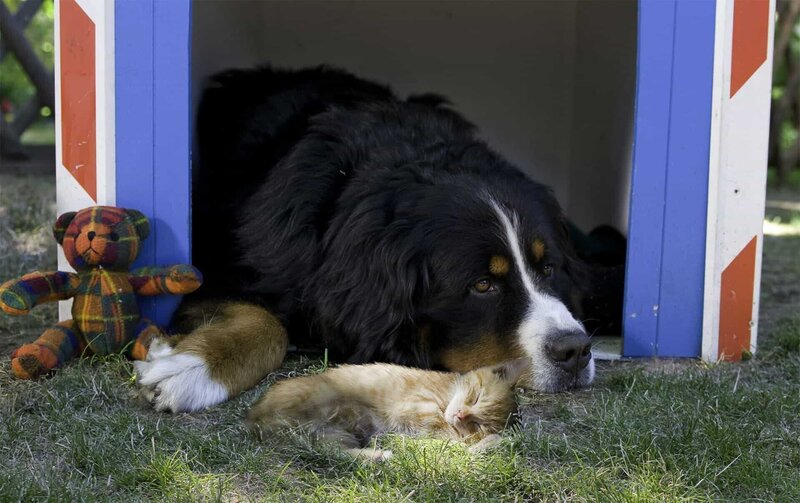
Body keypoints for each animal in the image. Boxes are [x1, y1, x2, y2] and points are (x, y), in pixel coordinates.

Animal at [247, 358, 528, 460]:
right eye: (477, 397)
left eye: (478, 423)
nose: (460, 415)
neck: (445, 395)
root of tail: (254, 420)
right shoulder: (415, 409)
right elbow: (449, 438)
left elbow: (459, 443)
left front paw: (489, 442)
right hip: (332, 404)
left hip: (328, 436)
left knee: (332, 453)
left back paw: (380, 455)